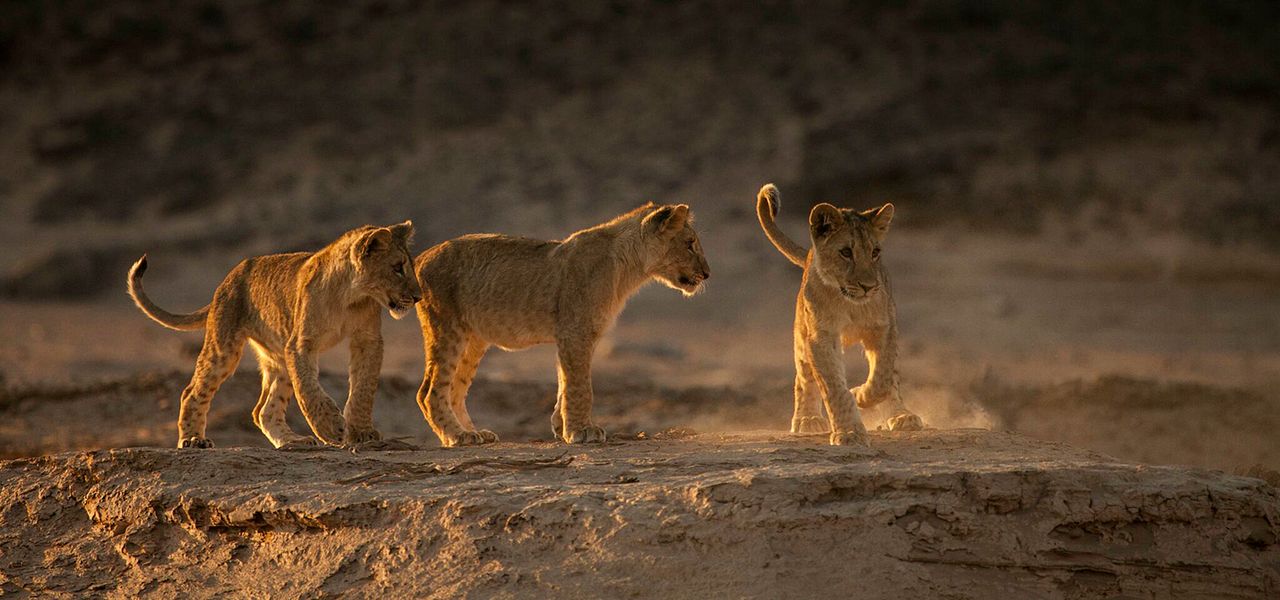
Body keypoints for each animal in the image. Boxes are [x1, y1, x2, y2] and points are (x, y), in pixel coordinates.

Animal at [126, 222, 422, 449]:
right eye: (398, 267)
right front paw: (330, 427)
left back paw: (294, 442)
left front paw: (361, 432)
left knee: (263, 411)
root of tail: (228, 278)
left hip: (277, 356)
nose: (419, 297)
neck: (351, 296)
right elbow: (308, 389)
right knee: (192, 391)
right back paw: (192, 440)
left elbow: (363, 387)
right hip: (225, 346)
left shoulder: (367, 340)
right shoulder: (301, 344)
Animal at [412, 203, 710, 447]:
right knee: (429, 392)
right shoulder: (575, 331)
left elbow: (565, 381)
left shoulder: (573, 335)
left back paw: (473, 433)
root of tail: (419, 258)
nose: (707, 273)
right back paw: (457, 435)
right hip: (447, 327)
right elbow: (581, 386)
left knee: (454, 390)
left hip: (473, 339)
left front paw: (561, 425)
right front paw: (581, 431)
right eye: (690, 243)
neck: (628, 268)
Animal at [756, 184, 923, 446]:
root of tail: (809, 255)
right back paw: (808, 419)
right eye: (845, 252)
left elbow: (883, 378)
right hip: (801, 335)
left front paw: (859, 394)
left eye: (875, 252)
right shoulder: (821, 337)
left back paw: (903, 416)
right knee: (803, 379)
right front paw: (850, 431)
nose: (868, 286)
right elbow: (833, 386)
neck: (850, 304)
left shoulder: (885, 327)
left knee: (892, 381)